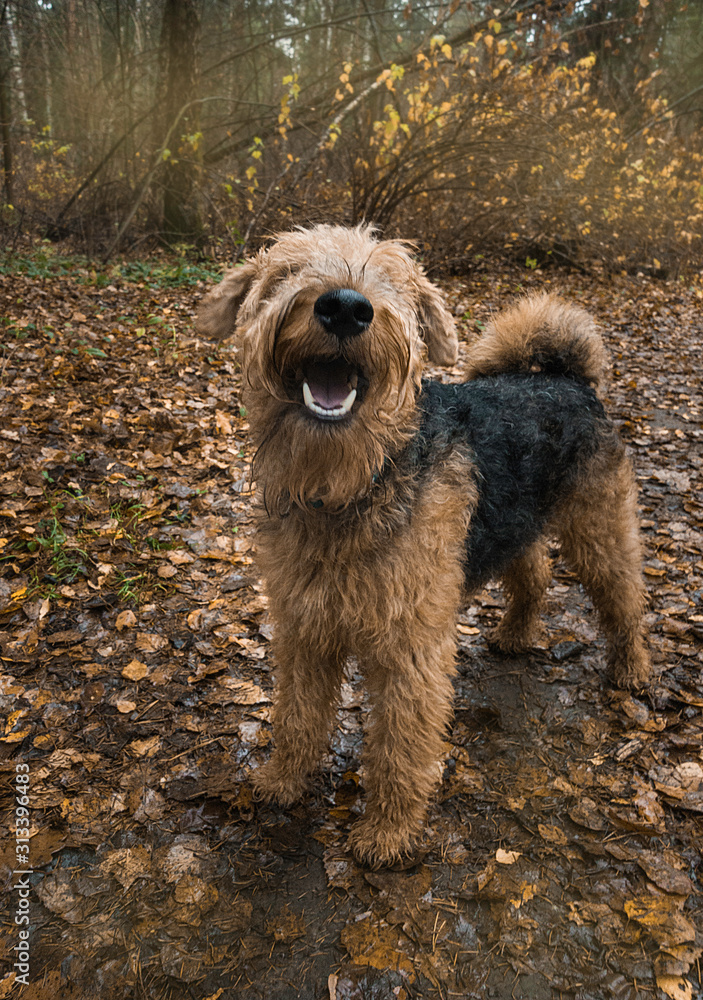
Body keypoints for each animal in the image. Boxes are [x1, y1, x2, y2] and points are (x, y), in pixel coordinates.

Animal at [197, 225, 648, 868]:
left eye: (395, 279)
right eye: (285, 270)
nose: (345, 307)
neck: (348, 488)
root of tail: (565, 378)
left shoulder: (410, 646)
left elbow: (400, 746)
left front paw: (386, 834)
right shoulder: (304, 627)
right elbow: (297, 715)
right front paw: (282, 781)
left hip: (598, 528)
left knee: (624, 597)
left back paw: (631, 670)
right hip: (509, 523)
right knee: (534, 575)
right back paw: (514, 634)